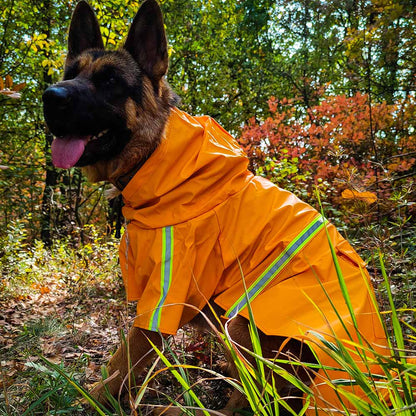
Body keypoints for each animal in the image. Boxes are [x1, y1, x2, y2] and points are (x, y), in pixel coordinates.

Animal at [43, 1, 386, 414]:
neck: (156, 153)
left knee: (252, 403)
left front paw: (91, 398)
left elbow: (123, 360)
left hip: (240, 323)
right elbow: (128, 363)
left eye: (110, 80)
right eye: (70, 73)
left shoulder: (165, 297)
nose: (50, 96)